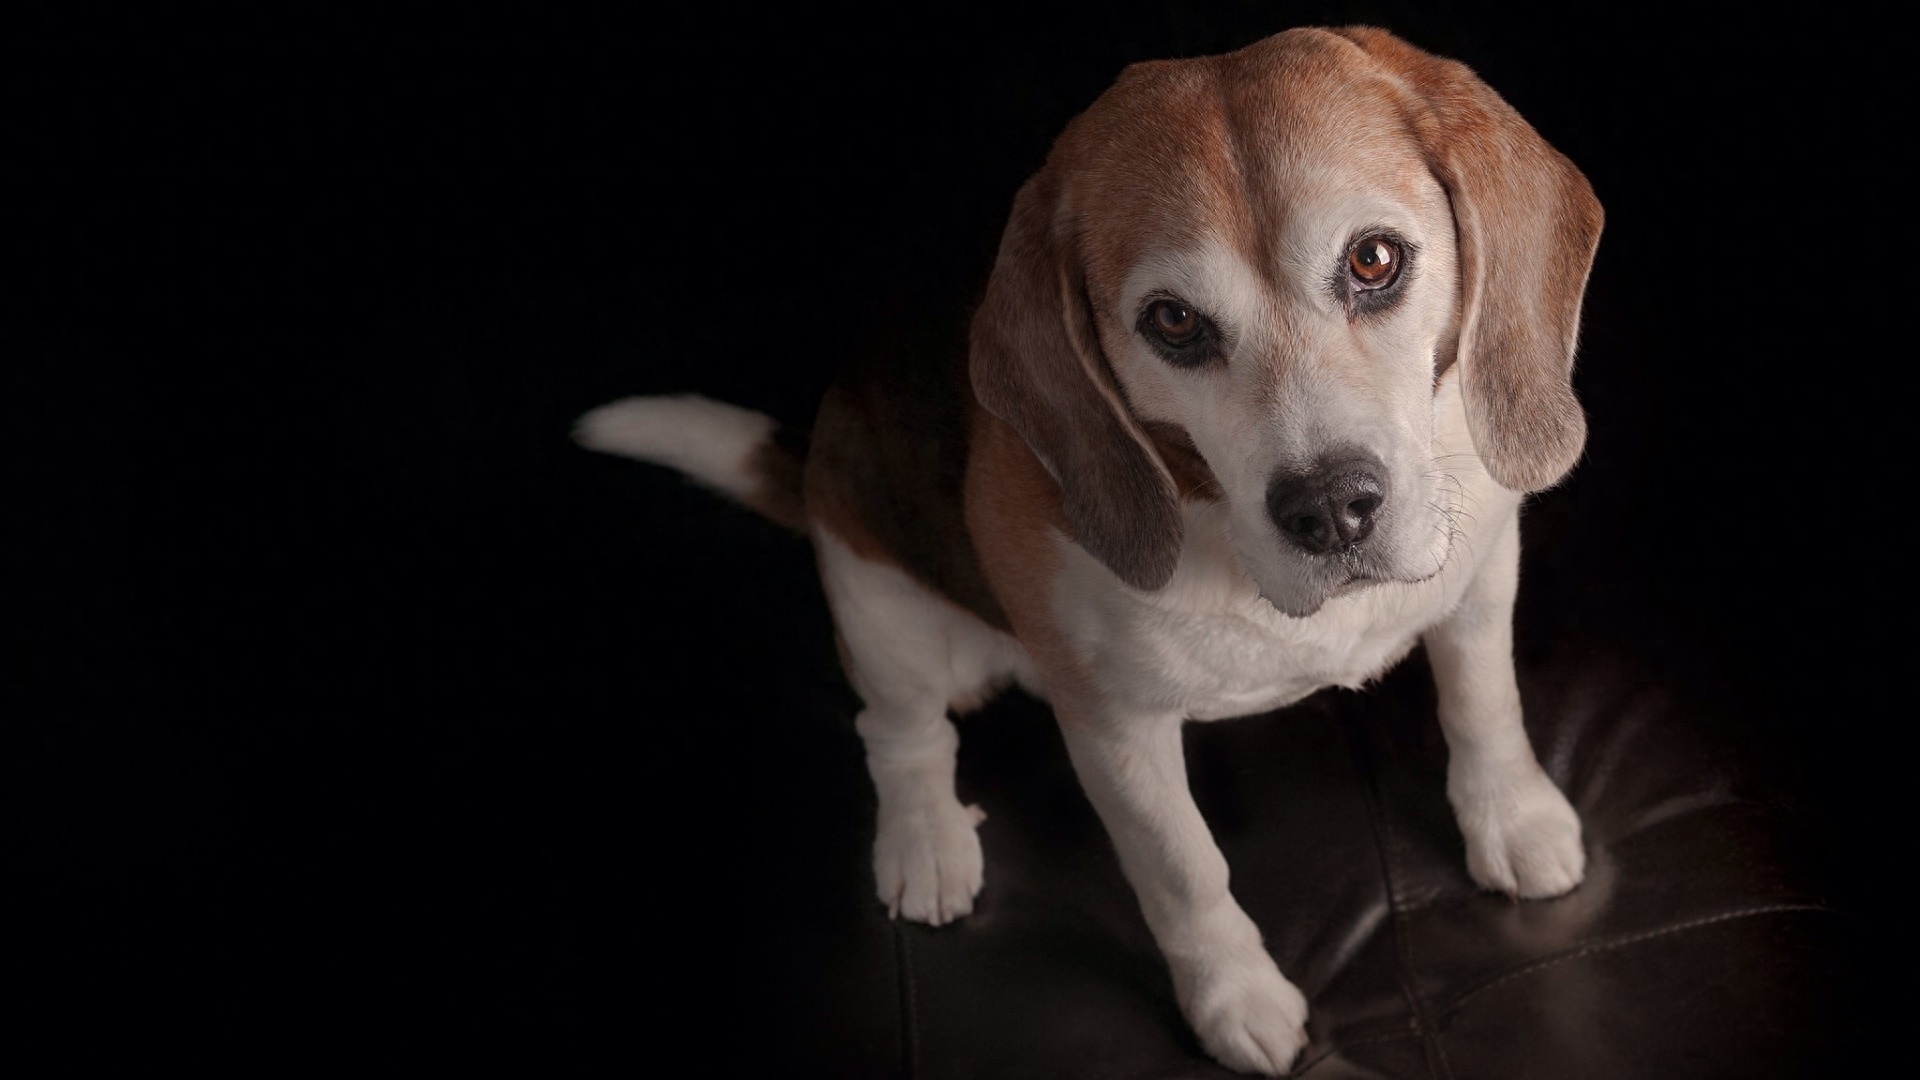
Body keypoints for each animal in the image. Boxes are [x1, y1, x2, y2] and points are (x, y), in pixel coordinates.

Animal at [579, 29, 1605, 1068]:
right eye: (1174, 321)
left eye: (1374, 259)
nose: (1331, 511)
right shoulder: (1116, 730)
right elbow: (1184, 873)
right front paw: (1235, 1000)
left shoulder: (1483, 577)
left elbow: (1486, 705)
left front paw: (1514, 818)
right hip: (880, 607)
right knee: (899, 731)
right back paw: (925, 842)